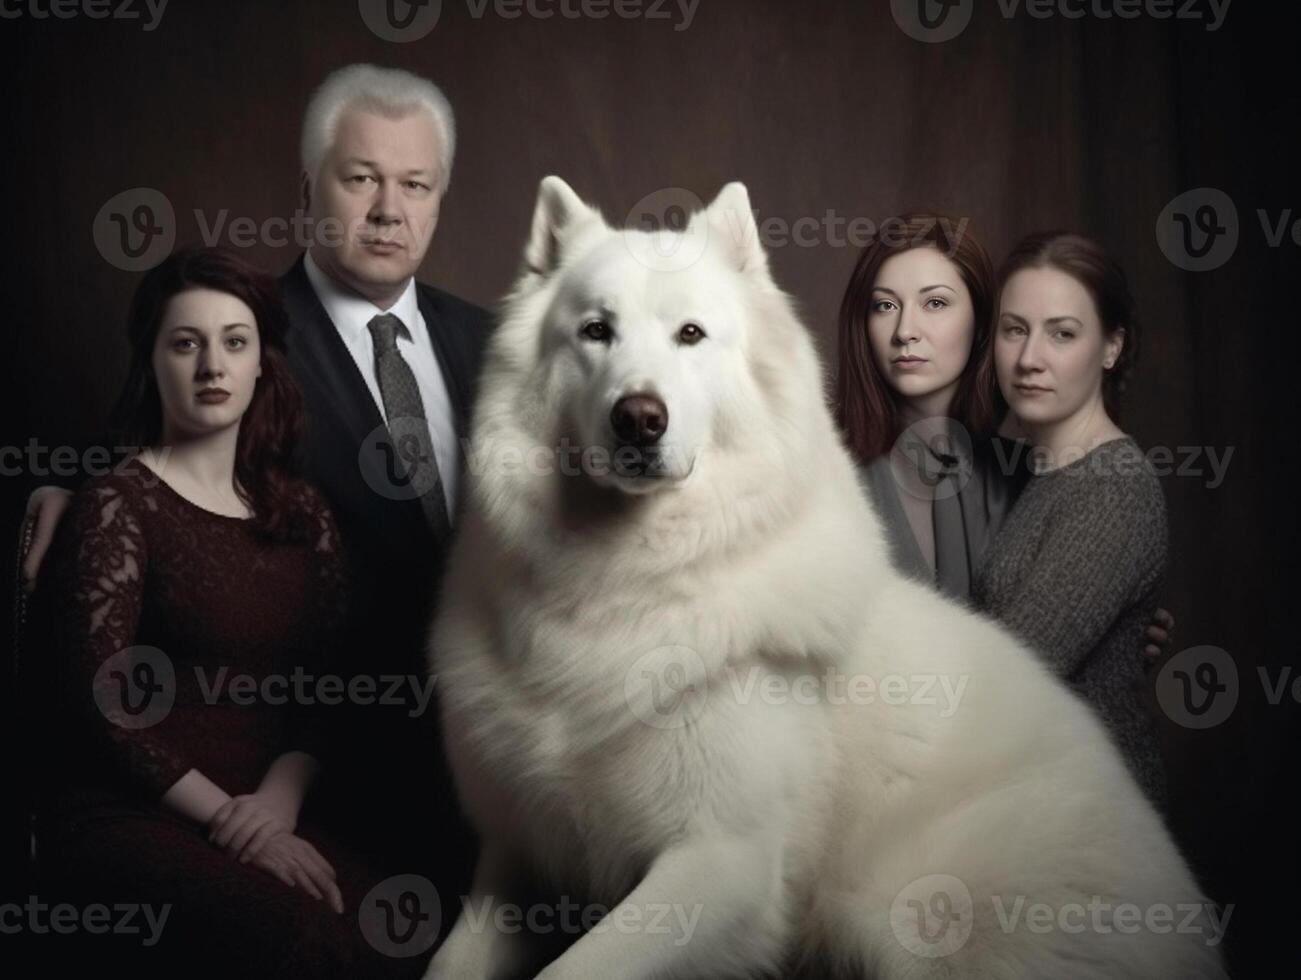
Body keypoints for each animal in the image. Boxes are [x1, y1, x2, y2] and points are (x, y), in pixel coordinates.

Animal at [426, 178, 1228, 978]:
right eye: (595, 331)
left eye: (691, 335)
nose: (638, 419)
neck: (624, 580)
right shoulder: (514, 858)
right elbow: (454, 961)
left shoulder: (723, 867)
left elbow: (570, 968)